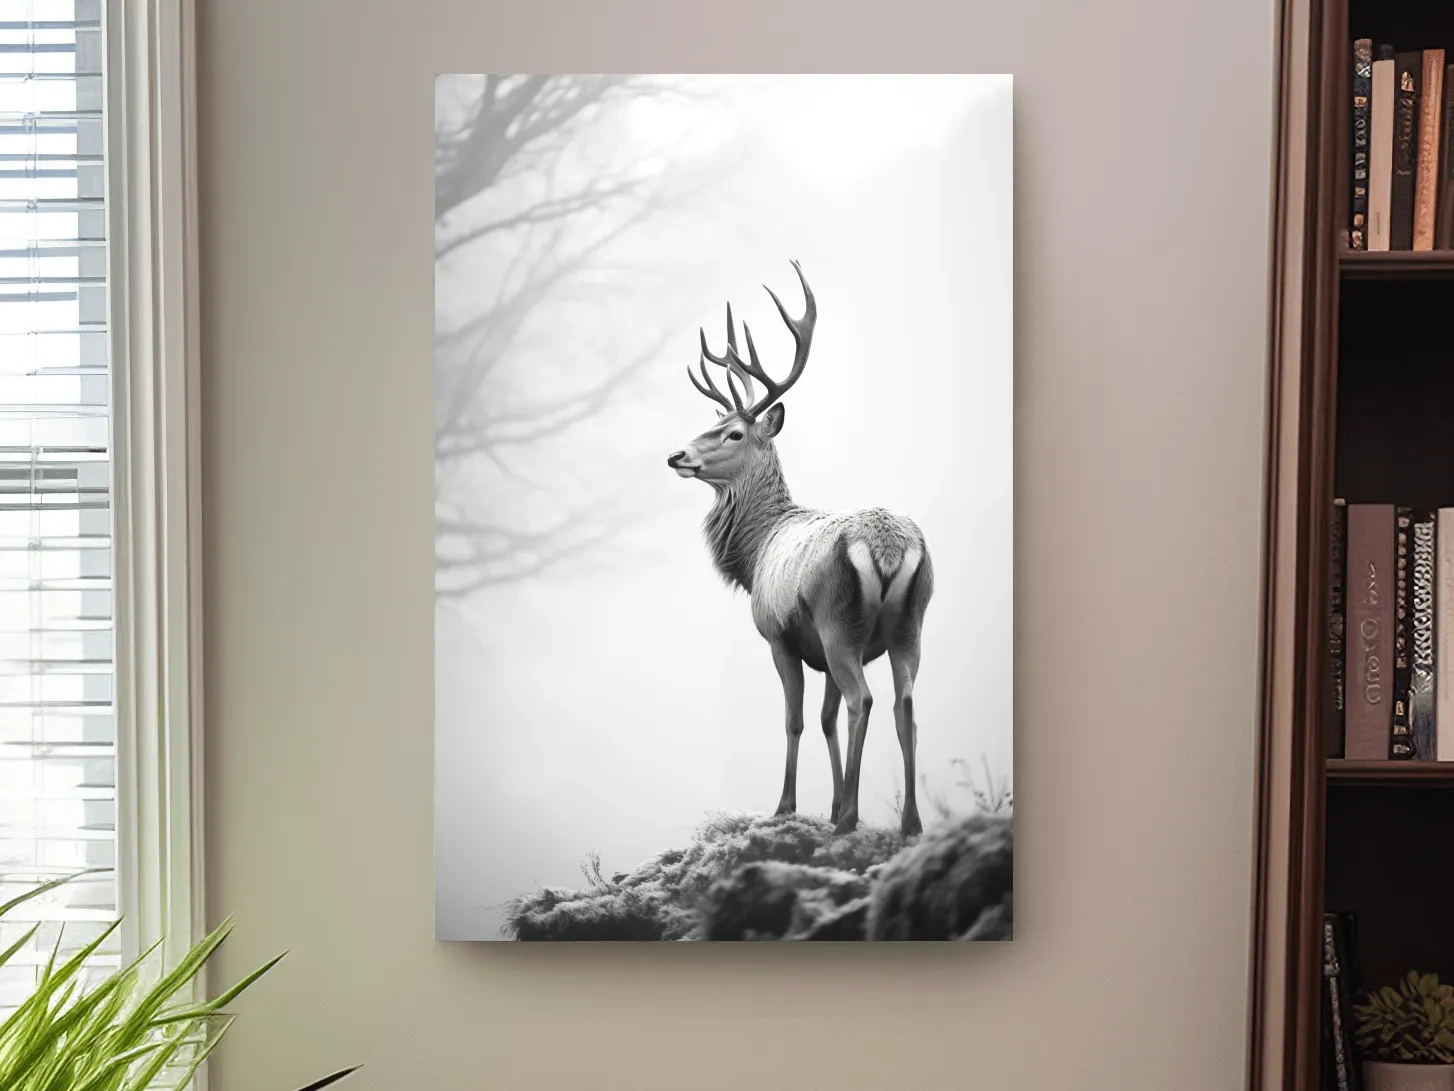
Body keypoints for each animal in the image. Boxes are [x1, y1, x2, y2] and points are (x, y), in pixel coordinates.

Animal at [666, 262, 933, 837]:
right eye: (712, 423)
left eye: (733, 432)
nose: (676, 455)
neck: (755, 551)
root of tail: (888, 548)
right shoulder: (821, 652)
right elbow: (827, 720)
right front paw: (828, 803)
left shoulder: (779, 634)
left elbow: (796, 720)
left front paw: (788, 806)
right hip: (910, 623)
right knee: (903, 704)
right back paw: (909, 823)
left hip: (838, 620)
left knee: (864, 699)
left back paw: (851, 818)